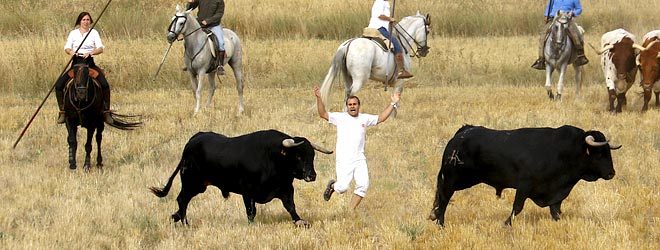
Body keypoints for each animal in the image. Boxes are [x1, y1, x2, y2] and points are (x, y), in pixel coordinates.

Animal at [151, 131, 332, 227]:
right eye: (299, 156)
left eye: (312, 155)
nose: (312, 175)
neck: (272, 157)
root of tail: (194, 139)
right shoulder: (248, 192)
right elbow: (251, 212)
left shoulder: (286, 189)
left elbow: (291, 207)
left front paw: (300, 222)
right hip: (191, 183)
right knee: (182, 199)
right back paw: (185, 223)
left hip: (198, 185)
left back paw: (175, 217)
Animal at [430, 126, 620, 226]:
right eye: (599, 154)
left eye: (608, 152)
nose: (611, 173)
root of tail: (461, 133)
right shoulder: (524, 186)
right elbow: (517, 207)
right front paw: (507, 223)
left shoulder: (556, 192)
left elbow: (555, 210)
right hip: (451, 180)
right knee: (444, 198)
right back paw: (440, 223)